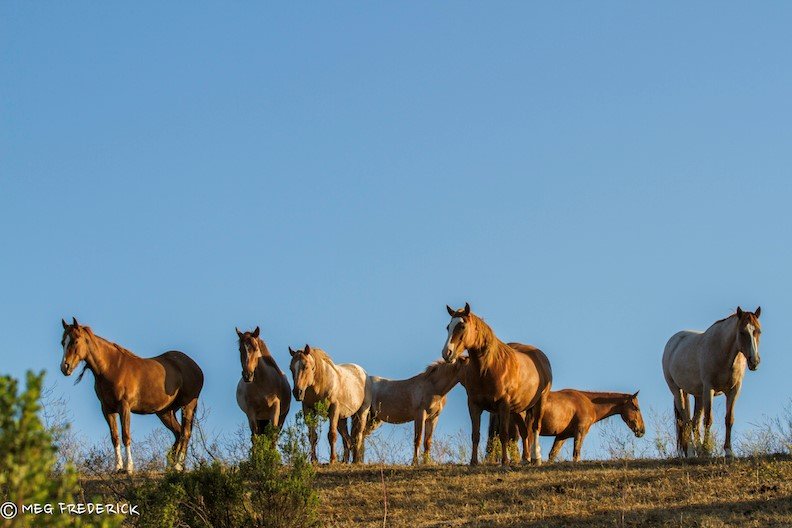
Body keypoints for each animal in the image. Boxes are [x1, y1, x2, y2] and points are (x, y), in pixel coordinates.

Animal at [59, 317, 204, 472]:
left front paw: (129, 467)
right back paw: (171, 466)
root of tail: (195, 366)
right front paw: (117, 467)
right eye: (62, 342)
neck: (112, 368)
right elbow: (115, 437)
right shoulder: (107, 409)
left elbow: (126, 435)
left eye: (75, 341)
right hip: (165, 412)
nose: (65, 367)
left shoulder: (124, 407)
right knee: (178, 433)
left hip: (187, 406)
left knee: (185, 433)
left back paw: (178, 465)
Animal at [442, 303, 553, 465]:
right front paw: (473, 462)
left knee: (535, 427)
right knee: (525, 431)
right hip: (516, 410)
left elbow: (504, 434)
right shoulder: (474, 405)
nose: (447, 353)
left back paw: (535, 458)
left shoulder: (503, 405)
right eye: (448, 327)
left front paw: (505, 461)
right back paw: (525, 458)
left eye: (462, 326)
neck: (488, 368)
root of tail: (540, 356)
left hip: (539, 401)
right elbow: (475, 434)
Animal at [487, 389, 645, 462]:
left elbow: (553, 454)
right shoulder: (580, 432)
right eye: (636, 408)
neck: (588, 403)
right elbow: (576, 453)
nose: (642, 430)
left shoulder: (561, 436)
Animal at [662, 306, 762, 457]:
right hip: (677, 391)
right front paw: (707, 451)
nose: (754, 361)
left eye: (758, 331)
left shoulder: (734, 390)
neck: (724, 354)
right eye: (742, 332)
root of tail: (672, 343)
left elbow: (729, 419)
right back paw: (691, 452)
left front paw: (728, 451)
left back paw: (698, 450)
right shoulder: (709, 389)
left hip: (698, 395)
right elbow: (708, 420)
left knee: (694, 422)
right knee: (686, 421)